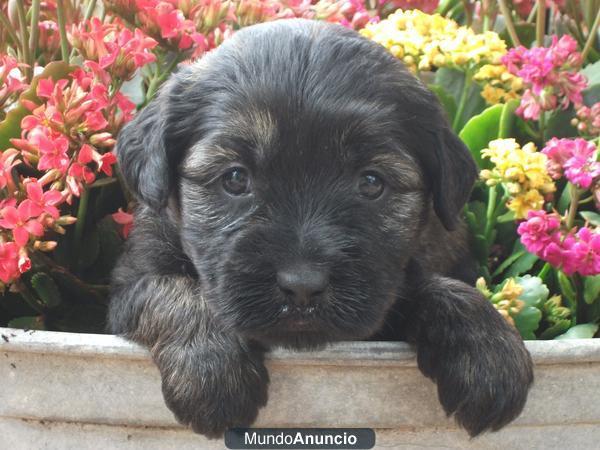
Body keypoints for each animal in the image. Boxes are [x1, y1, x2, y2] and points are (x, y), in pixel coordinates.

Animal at [110, 19, 532, 438]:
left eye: (371, 183)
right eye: (235, 178)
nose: (302, 286)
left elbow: (437, 287)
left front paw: (488, 352)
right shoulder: (131, 278)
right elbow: (171, 289)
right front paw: (212, 370)